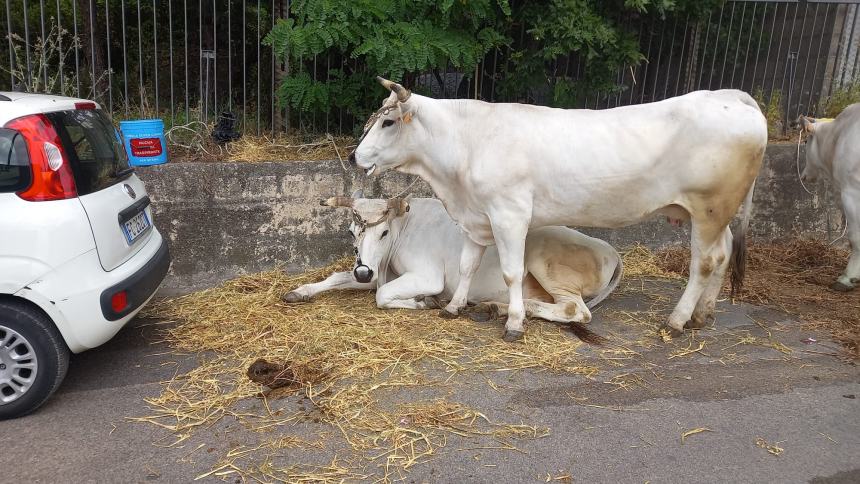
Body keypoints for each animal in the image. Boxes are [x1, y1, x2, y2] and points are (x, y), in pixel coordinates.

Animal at [286, 195, 620, 342]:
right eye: (352, 232)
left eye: (383, 232)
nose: (363, 272)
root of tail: (610, 249)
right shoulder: (374, 270)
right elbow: (337, 276)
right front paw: (300, 291)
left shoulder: (427, 276)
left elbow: (382, 296)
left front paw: (425, 301)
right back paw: (491, 308)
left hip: (546, 262)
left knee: (574, 310)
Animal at [350, 77, 764, 340]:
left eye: (388, 122)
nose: (355, 157)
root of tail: (730, 95)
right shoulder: (477, 218)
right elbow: (467, 265)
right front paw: (453, 307)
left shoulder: (510, 215)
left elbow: (511, 273)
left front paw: (514, 324)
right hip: (715, 213)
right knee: (723, 252)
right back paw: (702, 315)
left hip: (709, 207)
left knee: (704, 262)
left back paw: (677, 321)